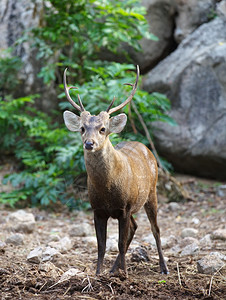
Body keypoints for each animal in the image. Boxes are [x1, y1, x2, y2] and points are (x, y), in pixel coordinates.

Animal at [62, 65, 169, 276]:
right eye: (82, 128)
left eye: (103, 128)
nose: (89, 143)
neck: (108, 190)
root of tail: (145, 147)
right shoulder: (97, 209)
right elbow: (101, 245)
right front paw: (98, 273)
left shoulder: (125, 207)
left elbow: (119, 242)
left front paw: (125, 275)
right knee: (135, 226)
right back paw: (113, 269)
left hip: (151, 192)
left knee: (156, 229)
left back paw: (163, 267)